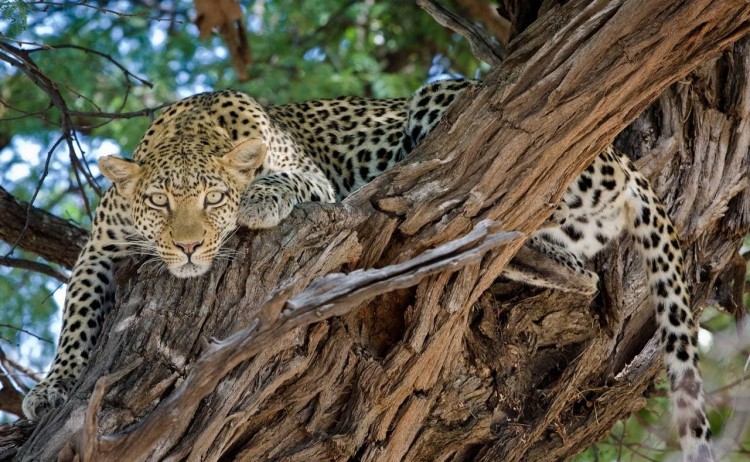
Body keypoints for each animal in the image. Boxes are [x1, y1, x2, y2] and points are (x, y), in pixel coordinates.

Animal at [22, 80, 712, 461]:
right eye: (159, 202)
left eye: (213, 199)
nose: (190, 249)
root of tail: (622, 155)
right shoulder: (99, 248)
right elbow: (76, 319)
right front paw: (52, 389)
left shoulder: (313, 181)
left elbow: (287, 181)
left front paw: (259, 199)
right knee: (566, 262)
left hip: (447, 101)